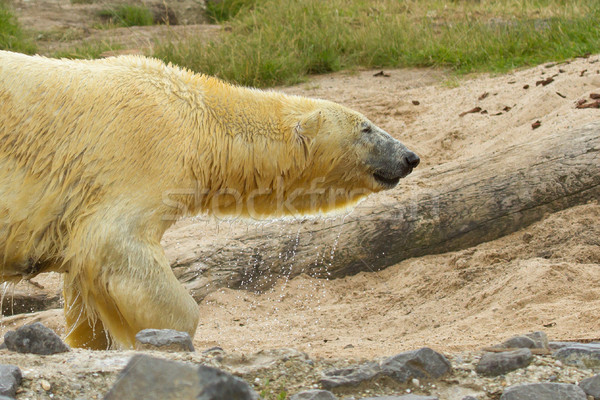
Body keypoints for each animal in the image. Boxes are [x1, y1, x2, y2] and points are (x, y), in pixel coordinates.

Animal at [0, 50, 418, 348]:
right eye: (366, 128)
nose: (410, 157)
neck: (198, 120)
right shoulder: (141, 156)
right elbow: (114, 246)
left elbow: (83, 289)